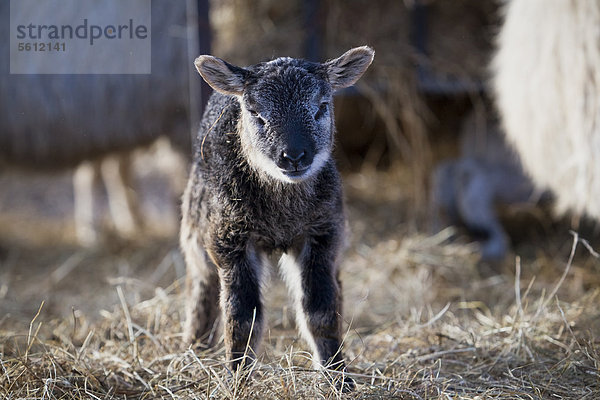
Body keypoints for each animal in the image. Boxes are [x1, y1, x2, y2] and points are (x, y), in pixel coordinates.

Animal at [180, 45, 372, 386]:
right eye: (256, 113)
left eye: (321, 107)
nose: (293, 156)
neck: (282, 213)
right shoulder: (230, 238)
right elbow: (242, 315)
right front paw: (237, 377)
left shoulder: (323, 233)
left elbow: (320, 309)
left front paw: (338, 376)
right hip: (194, 223)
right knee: (201, 284)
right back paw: (194, 348)